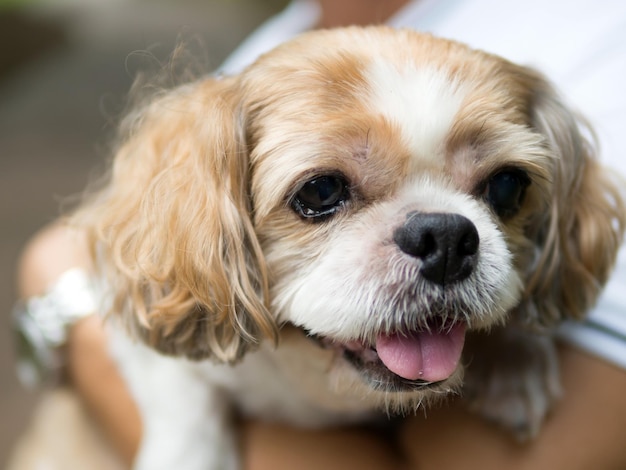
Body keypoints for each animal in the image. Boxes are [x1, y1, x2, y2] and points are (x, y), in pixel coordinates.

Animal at [77, 26, 624, 470]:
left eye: (508, 186)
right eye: (320, 191)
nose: (445, 236)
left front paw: (514, 362)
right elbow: (183, 398)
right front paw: (188, 455)